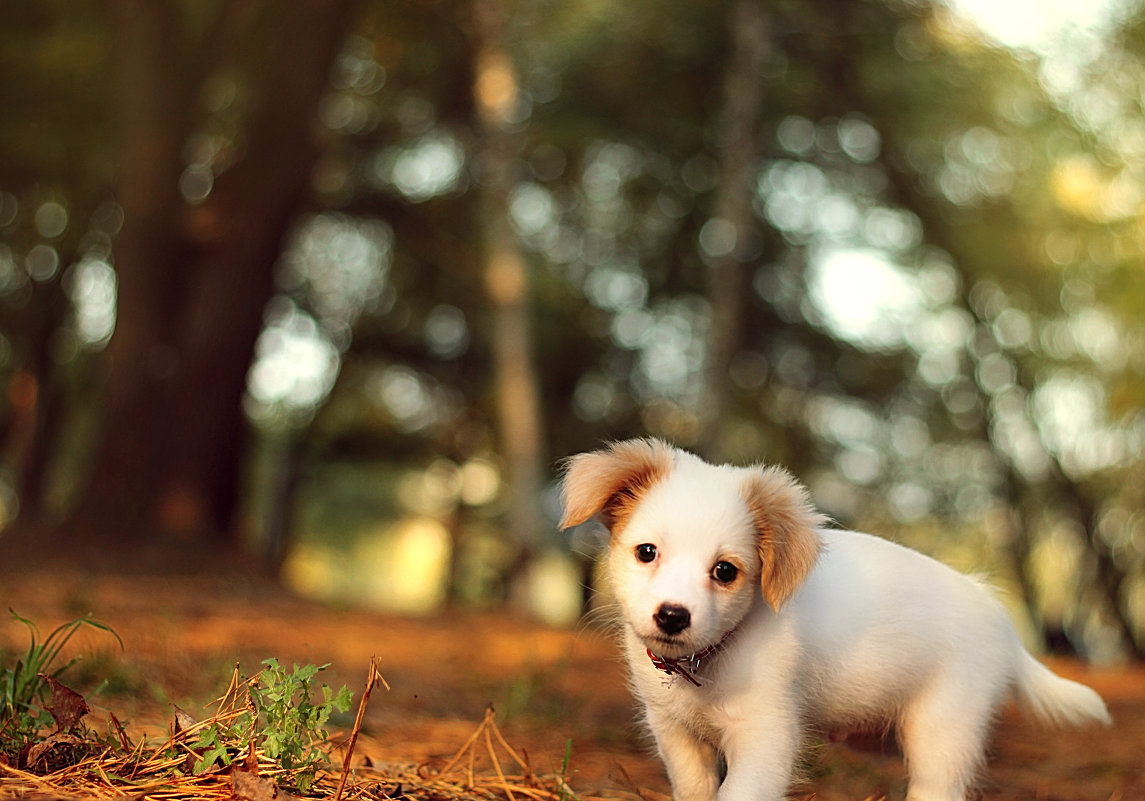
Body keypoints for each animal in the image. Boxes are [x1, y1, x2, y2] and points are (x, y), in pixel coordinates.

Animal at [558, 437, 1112, 801]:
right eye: (646, 552)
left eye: (725, 571)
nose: (673, 616)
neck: (709, 662)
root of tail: (997, 613)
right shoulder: (674, 733)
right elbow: (696, 789)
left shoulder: (767, 736)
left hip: (945, 729)